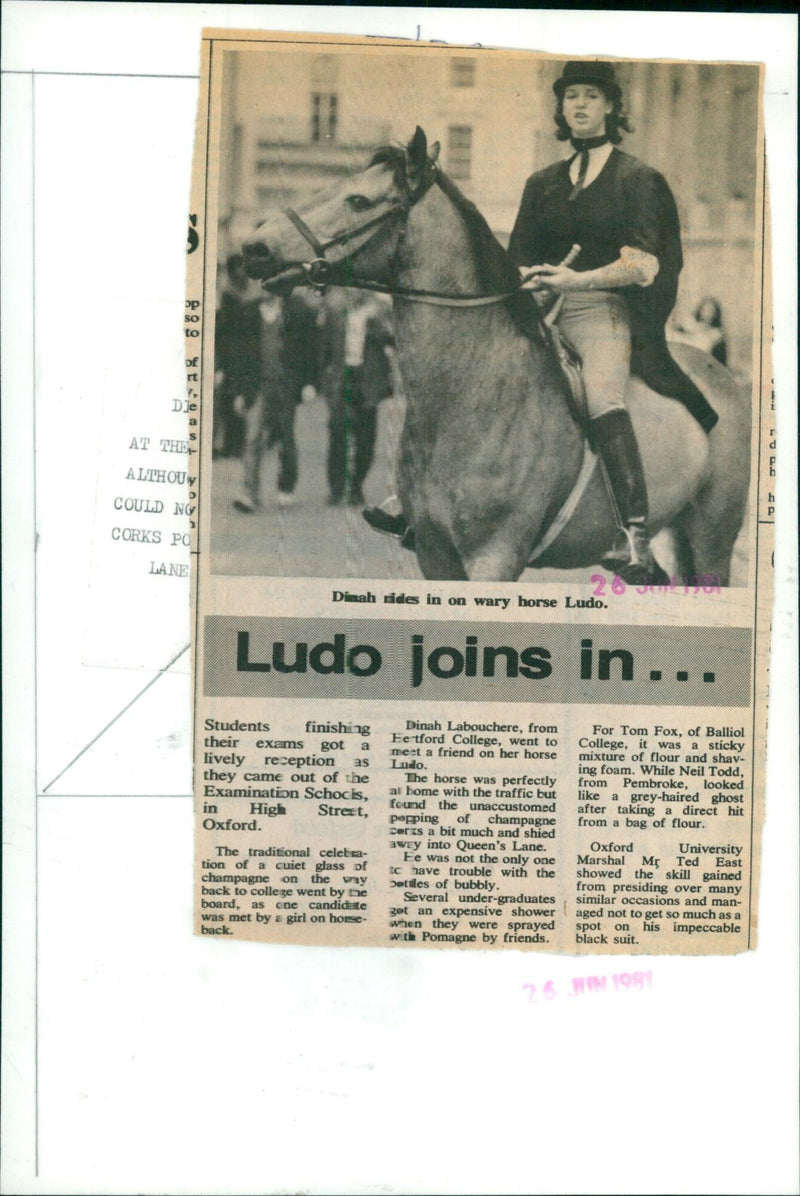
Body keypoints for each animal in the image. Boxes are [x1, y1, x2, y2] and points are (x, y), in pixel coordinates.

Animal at [241, 126, 750, 583]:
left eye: (358, 201)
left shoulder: (495, 558)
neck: (472, 394)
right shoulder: (436, 556)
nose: (254, 246)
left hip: (710, 543)